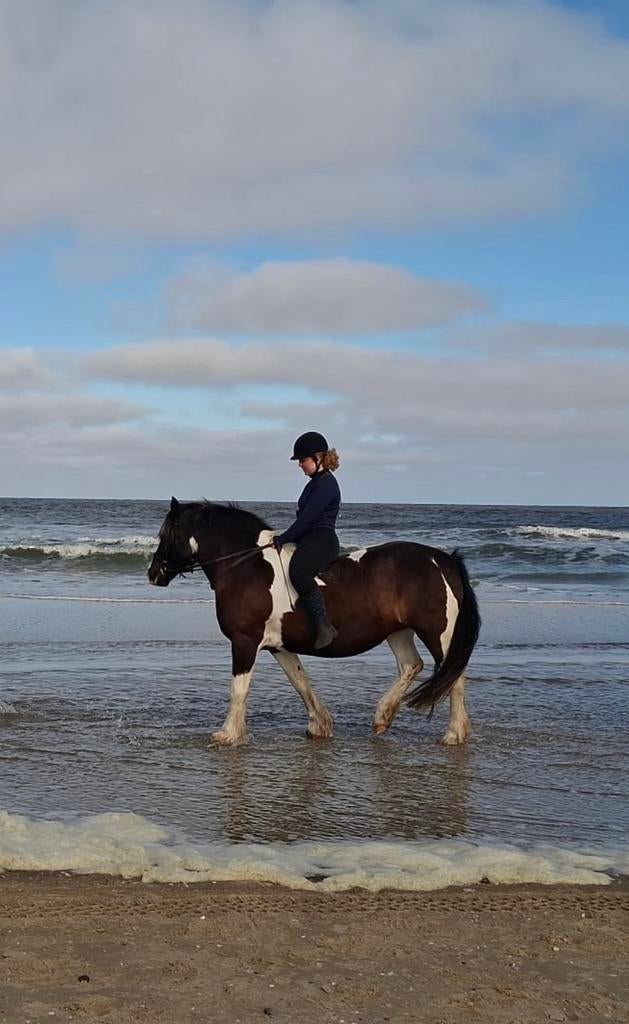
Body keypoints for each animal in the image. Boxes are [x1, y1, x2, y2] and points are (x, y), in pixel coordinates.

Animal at [148, 498, 481, 747]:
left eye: (167, 534)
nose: (153, 574)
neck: (247, 565)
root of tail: (444, 560)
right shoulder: (279, 646)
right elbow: (300, 681)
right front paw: (319, 726)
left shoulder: (245, 641)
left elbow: (238, 689)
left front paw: (227, 734)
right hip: (399, 631)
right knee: (412, 666)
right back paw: (382, 718)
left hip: (439, 634)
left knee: (455, 676)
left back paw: (453, 733)